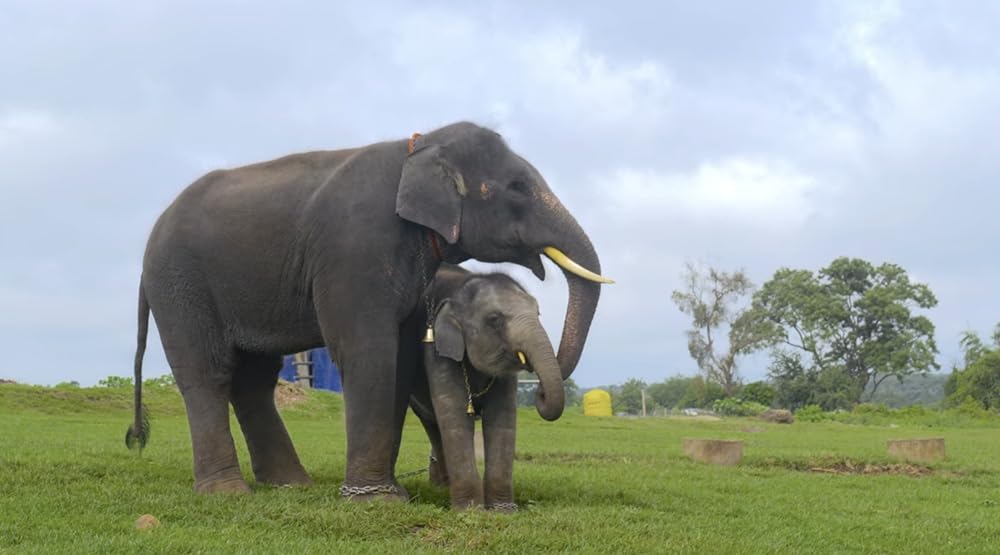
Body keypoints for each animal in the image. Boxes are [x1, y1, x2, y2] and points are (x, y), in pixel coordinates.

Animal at [406, 264, 564, 512]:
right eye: (494, 319)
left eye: (538, 313)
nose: (539, 392)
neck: (462, 288)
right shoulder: (436, 351)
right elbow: (455, 415)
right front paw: (470, 510)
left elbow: (503, 419)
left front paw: (503, 510)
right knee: (432, 423)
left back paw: (442, 487)